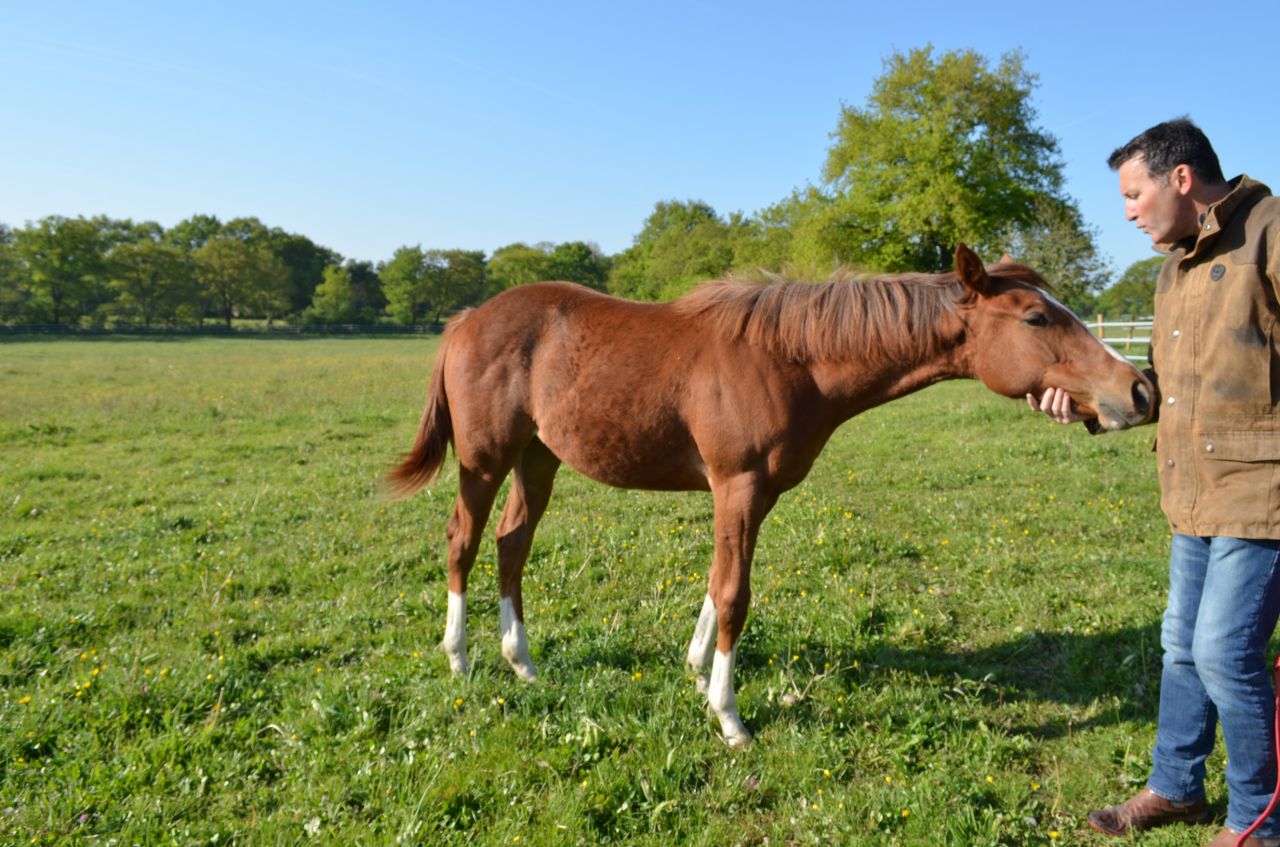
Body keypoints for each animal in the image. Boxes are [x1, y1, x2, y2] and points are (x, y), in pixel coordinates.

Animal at [388, 244, 1154, 746]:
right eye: (1035, 319)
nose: (1140, 388)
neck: (793, 359)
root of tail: (467, 319)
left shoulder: (753, 494)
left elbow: (716, 581)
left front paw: (698, 676)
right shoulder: (739, 484)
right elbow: (734, 594)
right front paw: (730, 718)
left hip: (538, 458)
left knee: (512, 544)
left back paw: (523, 664)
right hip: (485, 461)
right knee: (463, 541)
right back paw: (460, 658)